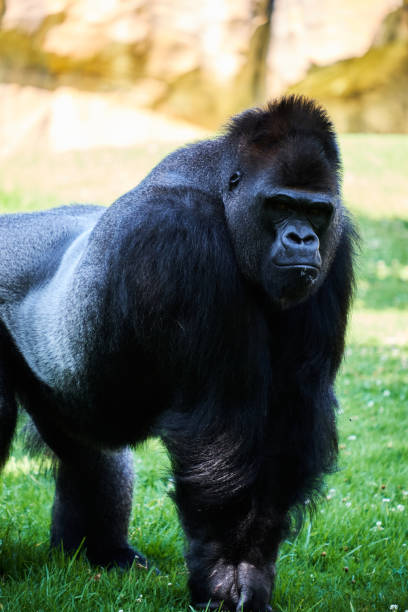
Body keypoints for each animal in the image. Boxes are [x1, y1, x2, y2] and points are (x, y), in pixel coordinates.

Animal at [0, 97, 356, 612]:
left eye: (316, 211)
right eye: (281, 205)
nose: (302, 239)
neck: (218, 190)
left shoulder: (336, 247)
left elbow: (294, 413)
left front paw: (252, 566)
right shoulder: (184, 233)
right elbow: (217, 429)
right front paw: (223, 572)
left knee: (86, 447)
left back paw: (101, 552)